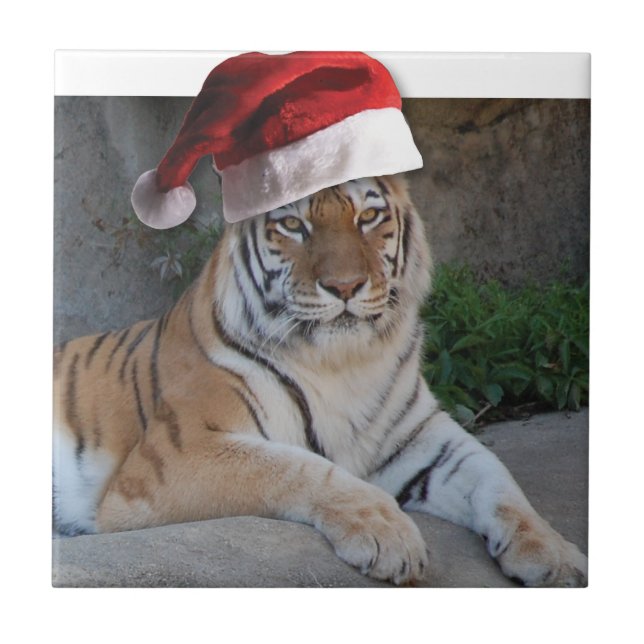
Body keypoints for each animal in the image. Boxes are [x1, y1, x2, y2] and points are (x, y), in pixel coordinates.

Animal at [53, 174, 588, 587]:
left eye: (367, 217)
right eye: (293, 224)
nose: (345, 286)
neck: (344, 362)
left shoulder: (423, 436)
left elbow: (499, 480)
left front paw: (556, 556)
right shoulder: (176, 456)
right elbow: (298, 467)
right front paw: (388, 534)